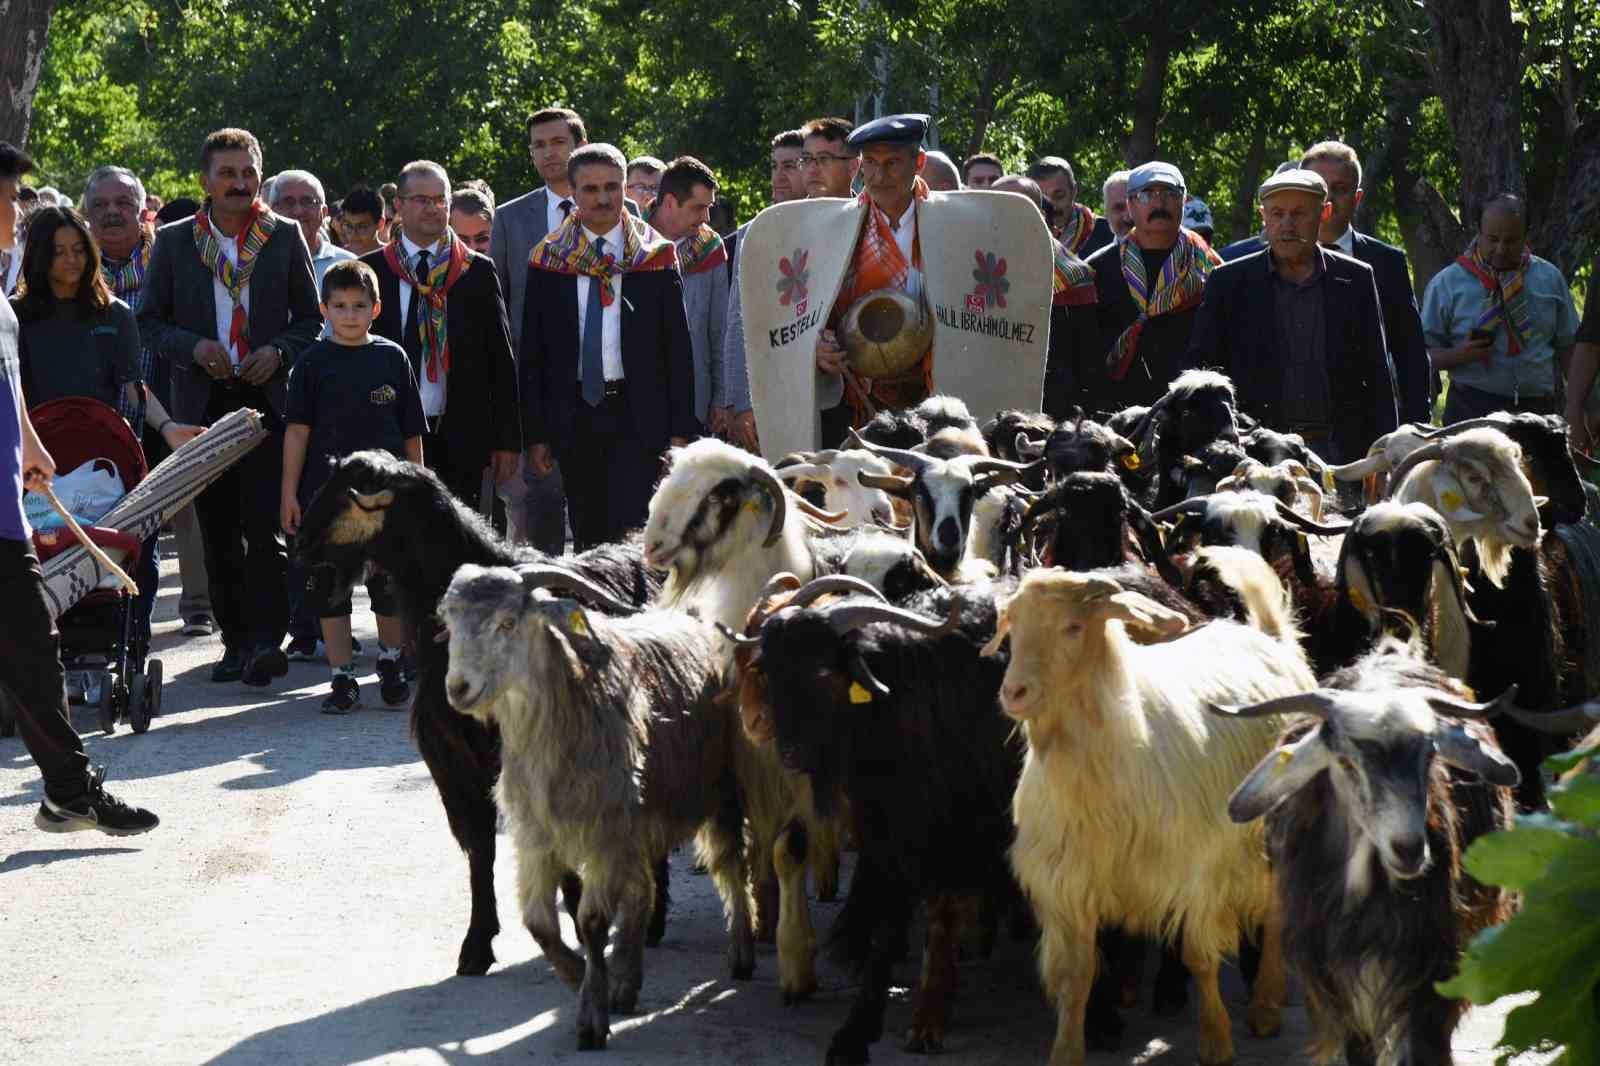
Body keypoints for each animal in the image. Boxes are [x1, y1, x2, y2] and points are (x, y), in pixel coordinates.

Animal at [992, 569, 1318, 1062]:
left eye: (1073, 627)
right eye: (1013, 623)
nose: (1014, 692)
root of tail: (1269, 640)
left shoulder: (1194, 870)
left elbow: (1199, 958)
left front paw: (1216, 1040)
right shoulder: (1069, 882)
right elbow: (1076, 978)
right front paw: (1067, 1050)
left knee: (1277, 911)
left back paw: (1265, 1005)